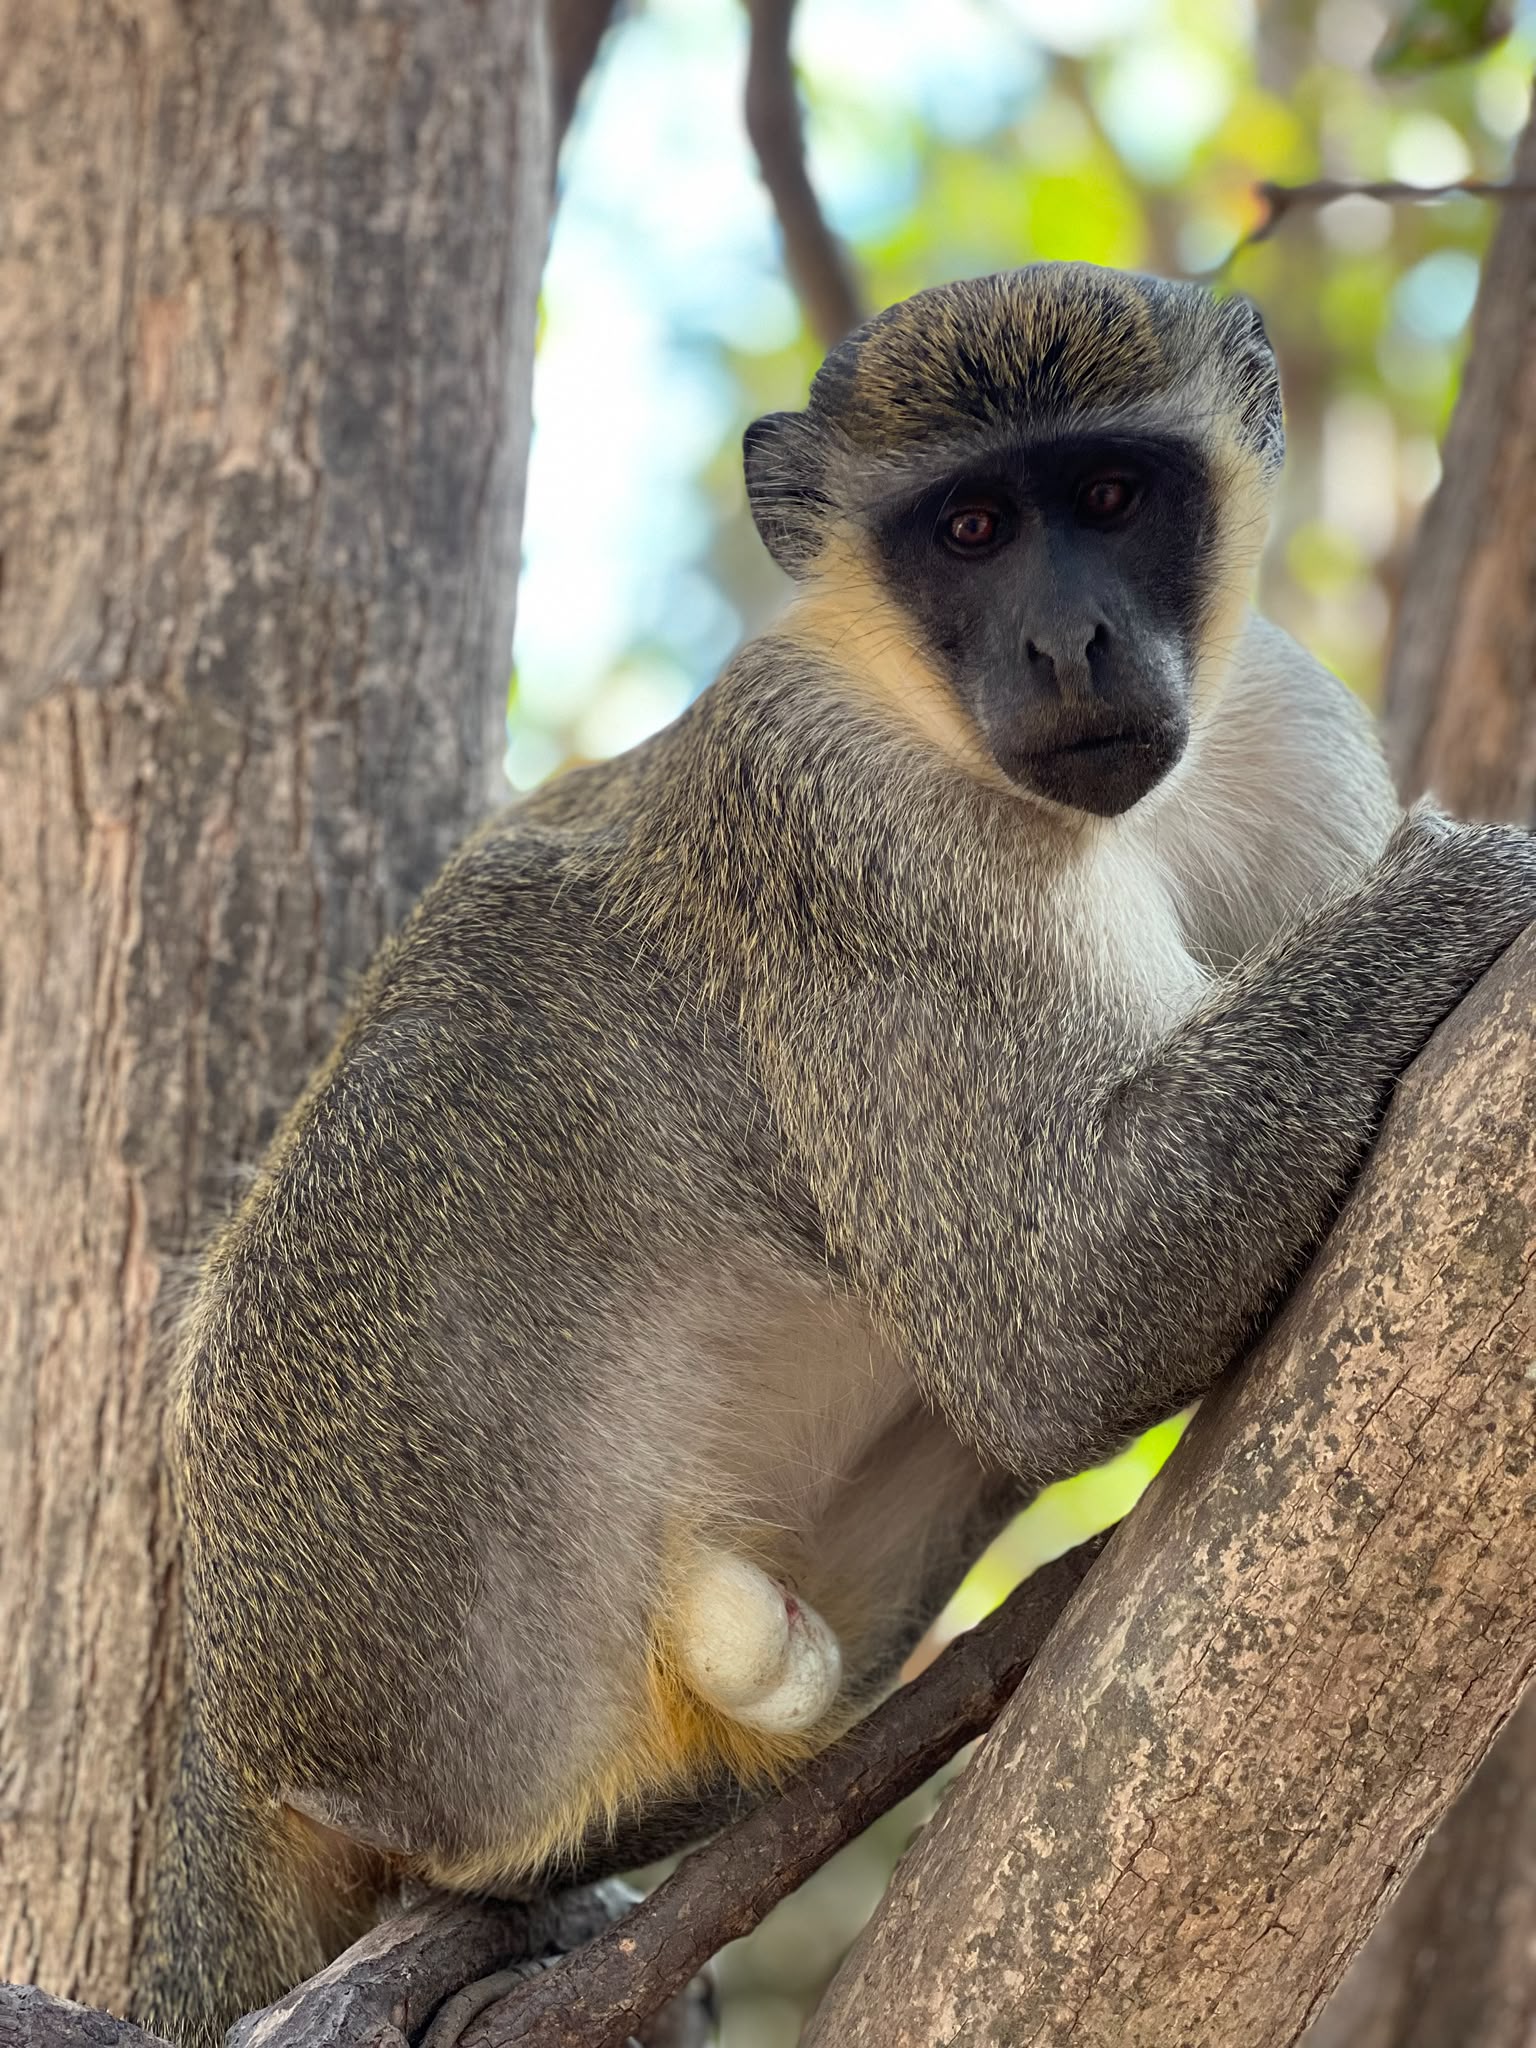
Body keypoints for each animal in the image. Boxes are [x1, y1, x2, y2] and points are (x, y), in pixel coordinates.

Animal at [137, 261, 1536, 2046]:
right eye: (970, 530)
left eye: (1110, 496)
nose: (1068, 638)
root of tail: (225, 1717)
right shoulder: (842, 817)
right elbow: (1057, 1321)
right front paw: (1484, 880)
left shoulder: (1292, 735)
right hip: (397, 1597)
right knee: (489, 999)